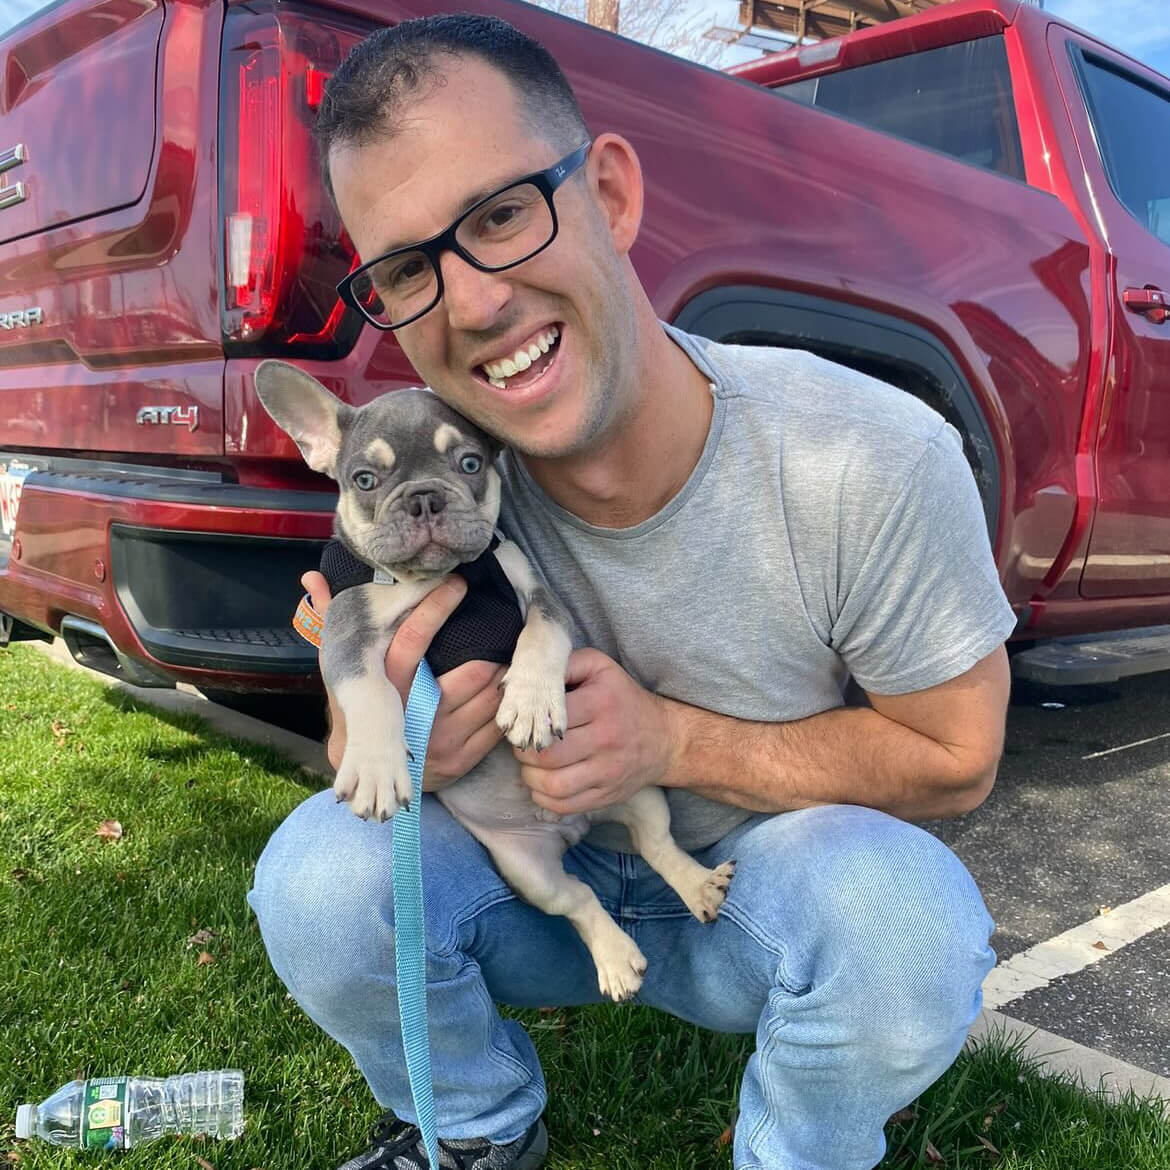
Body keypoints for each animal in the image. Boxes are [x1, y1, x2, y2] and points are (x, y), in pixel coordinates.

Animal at [256, 360, 734, 1001]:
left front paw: (531, 704)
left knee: (655, 843)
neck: (444, 579)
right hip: (525, 869)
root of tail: (571, 827)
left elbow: (542, 637)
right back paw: (616, 955)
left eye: (469, 464)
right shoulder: (346, 627)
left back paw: (695, 888)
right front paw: (378, 769)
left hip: (639, 790)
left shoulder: (536, 594)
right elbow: (372, 689)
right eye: (364, 479)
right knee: (577, 897)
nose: (425, 499)